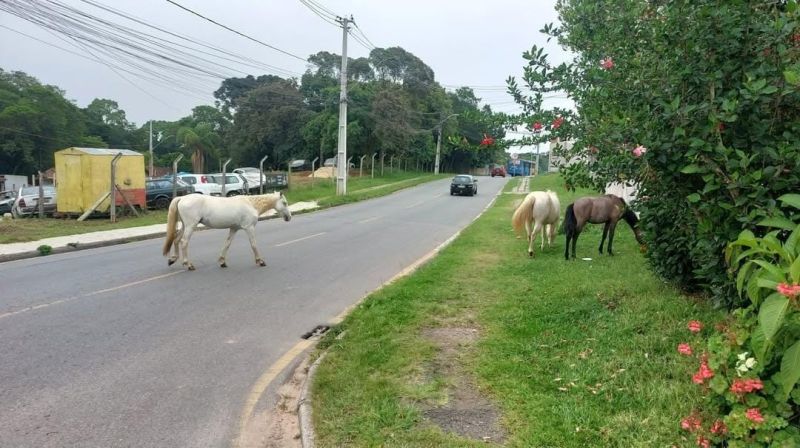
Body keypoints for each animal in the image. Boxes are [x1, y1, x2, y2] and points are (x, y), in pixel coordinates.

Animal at [162, 192, 290, 270]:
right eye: (284, 203)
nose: (289, 217)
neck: (251, 204)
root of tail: (182, 198)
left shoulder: (234, 229)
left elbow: (227, 244)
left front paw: (222, 262)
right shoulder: (249, 228)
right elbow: (253, 244)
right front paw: (260, 261)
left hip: (185, 226)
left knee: (176, 240)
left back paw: (172, 259)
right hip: (190, 226)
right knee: (184, 242)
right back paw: (188, 264)